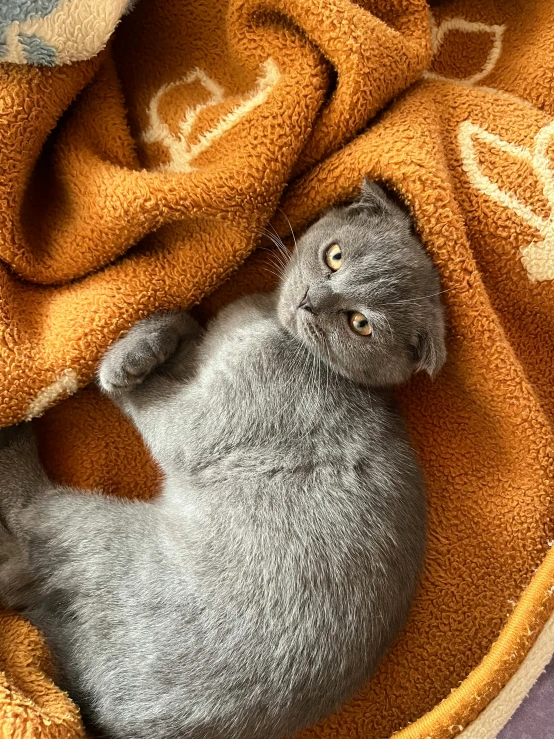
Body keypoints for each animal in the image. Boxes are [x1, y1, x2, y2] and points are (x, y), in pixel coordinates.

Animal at [0, 182, 442, 739]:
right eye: (335, 256)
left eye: (359, 323)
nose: (311, 302)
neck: (265, 323)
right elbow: (191, 331)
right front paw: (152, 339)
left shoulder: (201, 422)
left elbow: (148, 403)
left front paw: (121, 365)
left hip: (92, 528)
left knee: (27, 525)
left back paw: (13, 441)